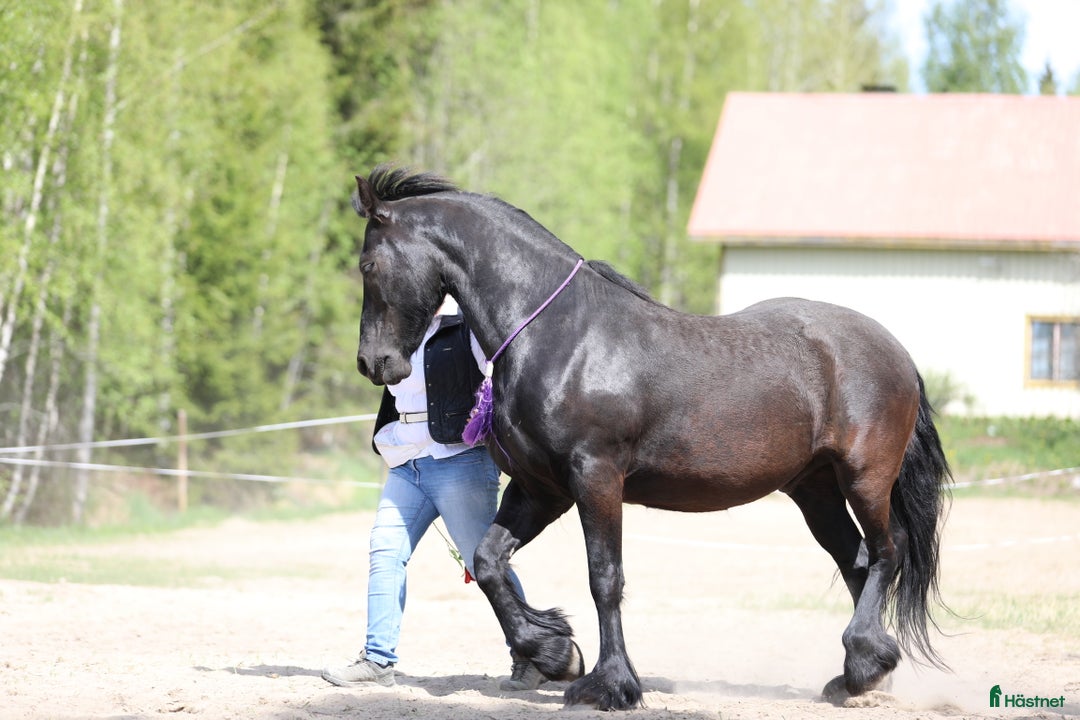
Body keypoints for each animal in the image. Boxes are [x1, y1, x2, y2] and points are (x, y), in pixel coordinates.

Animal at [350, 164, 951, 711]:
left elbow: (604, 577)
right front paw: (554, 653)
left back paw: (866, 661)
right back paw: (858, 678)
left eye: (367, 264)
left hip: (864, 477)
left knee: (887, 551)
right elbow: (488, 561)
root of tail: (895, 350)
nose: (373, 363)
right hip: (815, 489)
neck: (560, 337)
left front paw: (610, 685)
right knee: (856, 561)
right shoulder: (541, 488)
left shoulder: (595, 478)